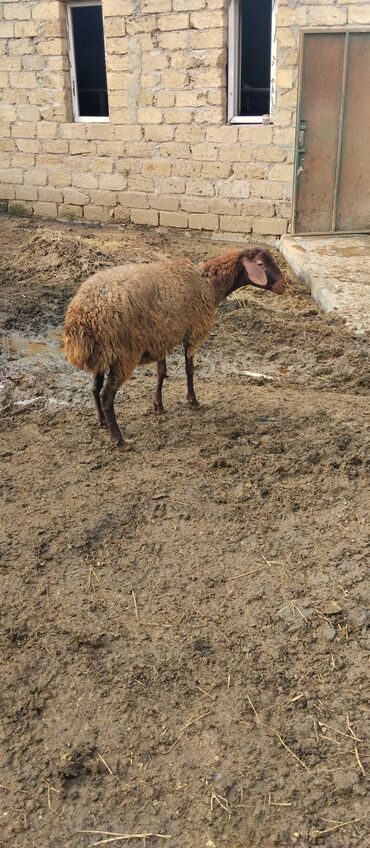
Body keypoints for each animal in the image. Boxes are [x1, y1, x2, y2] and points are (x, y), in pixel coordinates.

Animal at [64, 245, 286, 448]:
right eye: (261, 264)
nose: (283, 286)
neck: (209, 284)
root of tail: (80, 316)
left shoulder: (161, 338)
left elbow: (161, 372)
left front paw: (158, 406)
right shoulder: (193, 333)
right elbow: (189, 370)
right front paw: (193, 401)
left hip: (103, 353)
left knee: (95, 388)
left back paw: (102, 422)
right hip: (124, 355)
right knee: (106, 396)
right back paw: (119, 440)